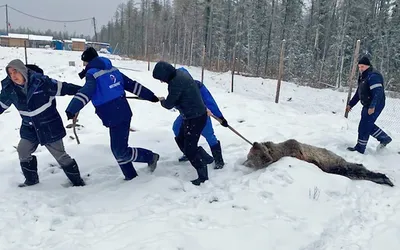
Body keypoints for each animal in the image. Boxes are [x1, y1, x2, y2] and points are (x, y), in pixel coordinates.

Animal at [244, 140, 394, 187]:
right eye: (253, 155)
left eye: (254, 151)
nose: (255, 143)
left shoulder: (293, 146)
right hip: (338, 167)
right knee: (354, 170)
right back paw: (384, 178)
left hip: (336, 161)